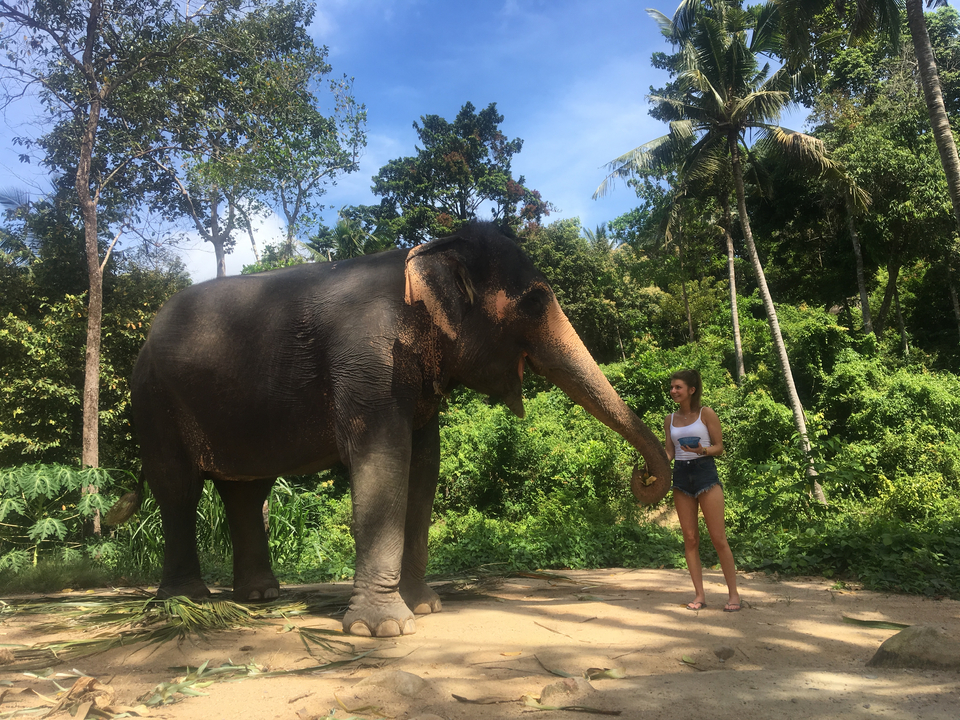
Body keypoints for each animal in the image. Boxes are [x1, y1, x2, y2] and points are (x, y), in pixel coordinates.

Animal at [108, 222, 671, 637]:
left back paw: (261, 596)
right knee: (178, 488)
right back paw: (184, 604)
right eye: (534, 302)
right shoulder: (368, 358)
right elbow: (384, 459)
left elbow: (424, 465)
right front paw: (382, 630)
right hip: (153, 400)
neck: (423, 254)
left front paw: (425, 608)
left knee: (246, 491)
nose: (643, 479)